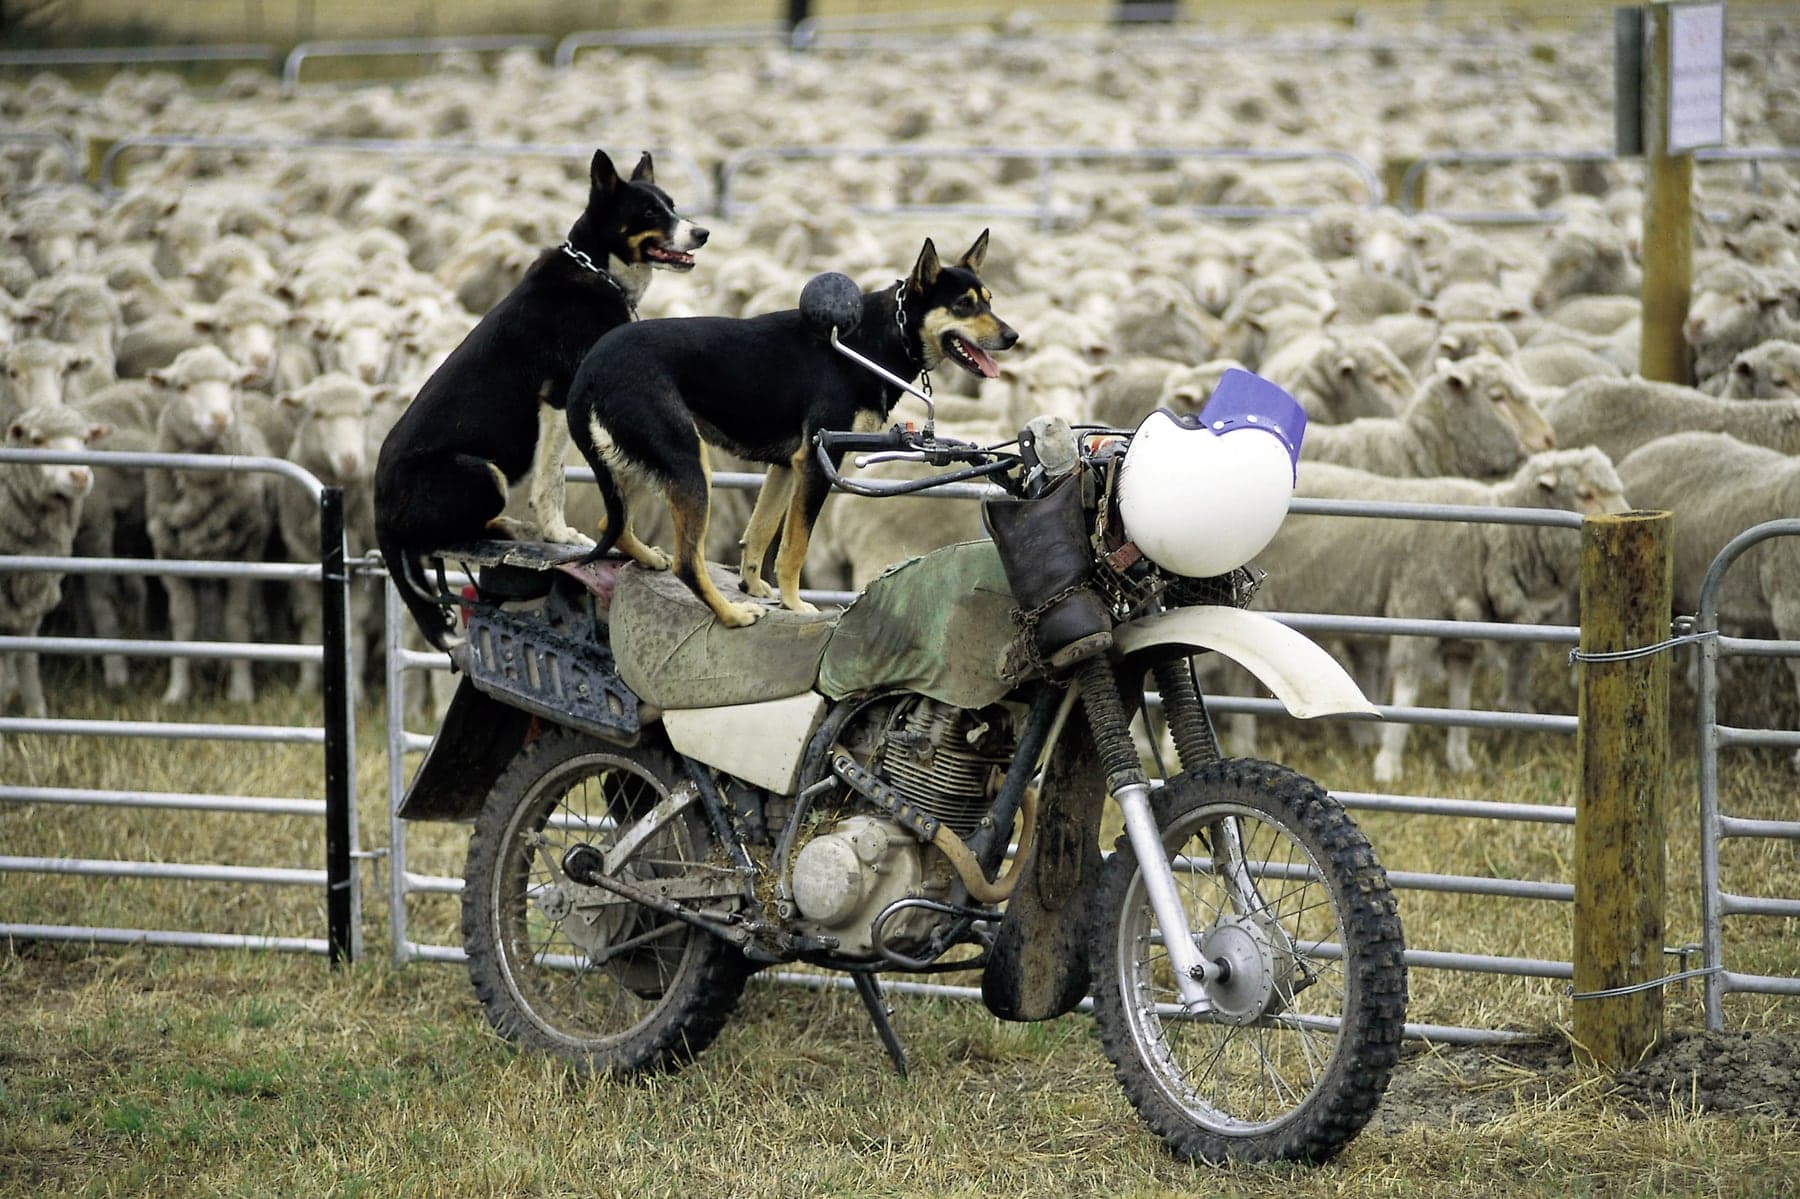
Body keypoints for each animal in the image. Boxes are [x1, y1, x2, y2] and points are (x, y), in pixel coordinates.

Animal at [1, 405, 107, 718]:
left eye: (86, 440)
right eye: (37, 440)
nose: (79, 476)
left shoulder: (27, 604)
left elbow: (24, 657)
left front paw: (36, 713)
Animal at [144, 345, 271, 706]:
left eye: (232, 384)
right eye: (182, 387)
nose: (220, 419)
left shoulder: (246, 554)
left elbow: (237, 621)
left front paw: (241, 691)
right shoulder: (169, 558)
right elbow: (183, 624)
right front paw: (177, 691)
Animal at [1251, 448, 1628, 780]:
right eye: (1586, 493)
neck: (1489, 538)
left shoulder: (1463, 640)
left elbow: (1460, 701)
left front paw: (1459, 760)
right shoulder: (1416, 610)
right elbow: (1406, 697)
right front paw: (1388, 765)